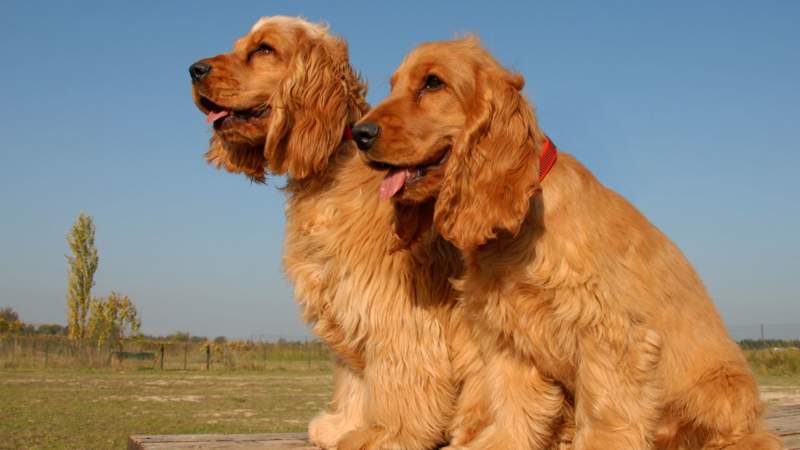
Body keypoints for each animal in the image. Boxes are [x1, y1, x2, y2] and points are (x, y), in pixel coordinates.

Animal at [354, 36, 780, 450]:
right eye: (393, 85)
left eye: (433, 83)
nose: (359, 134)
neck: (518, 226)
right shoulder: (508, 336)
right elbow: (514, 404)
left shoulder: (607, 329)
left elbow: (606, 409)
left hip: (723, 387)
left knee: (748, 435)